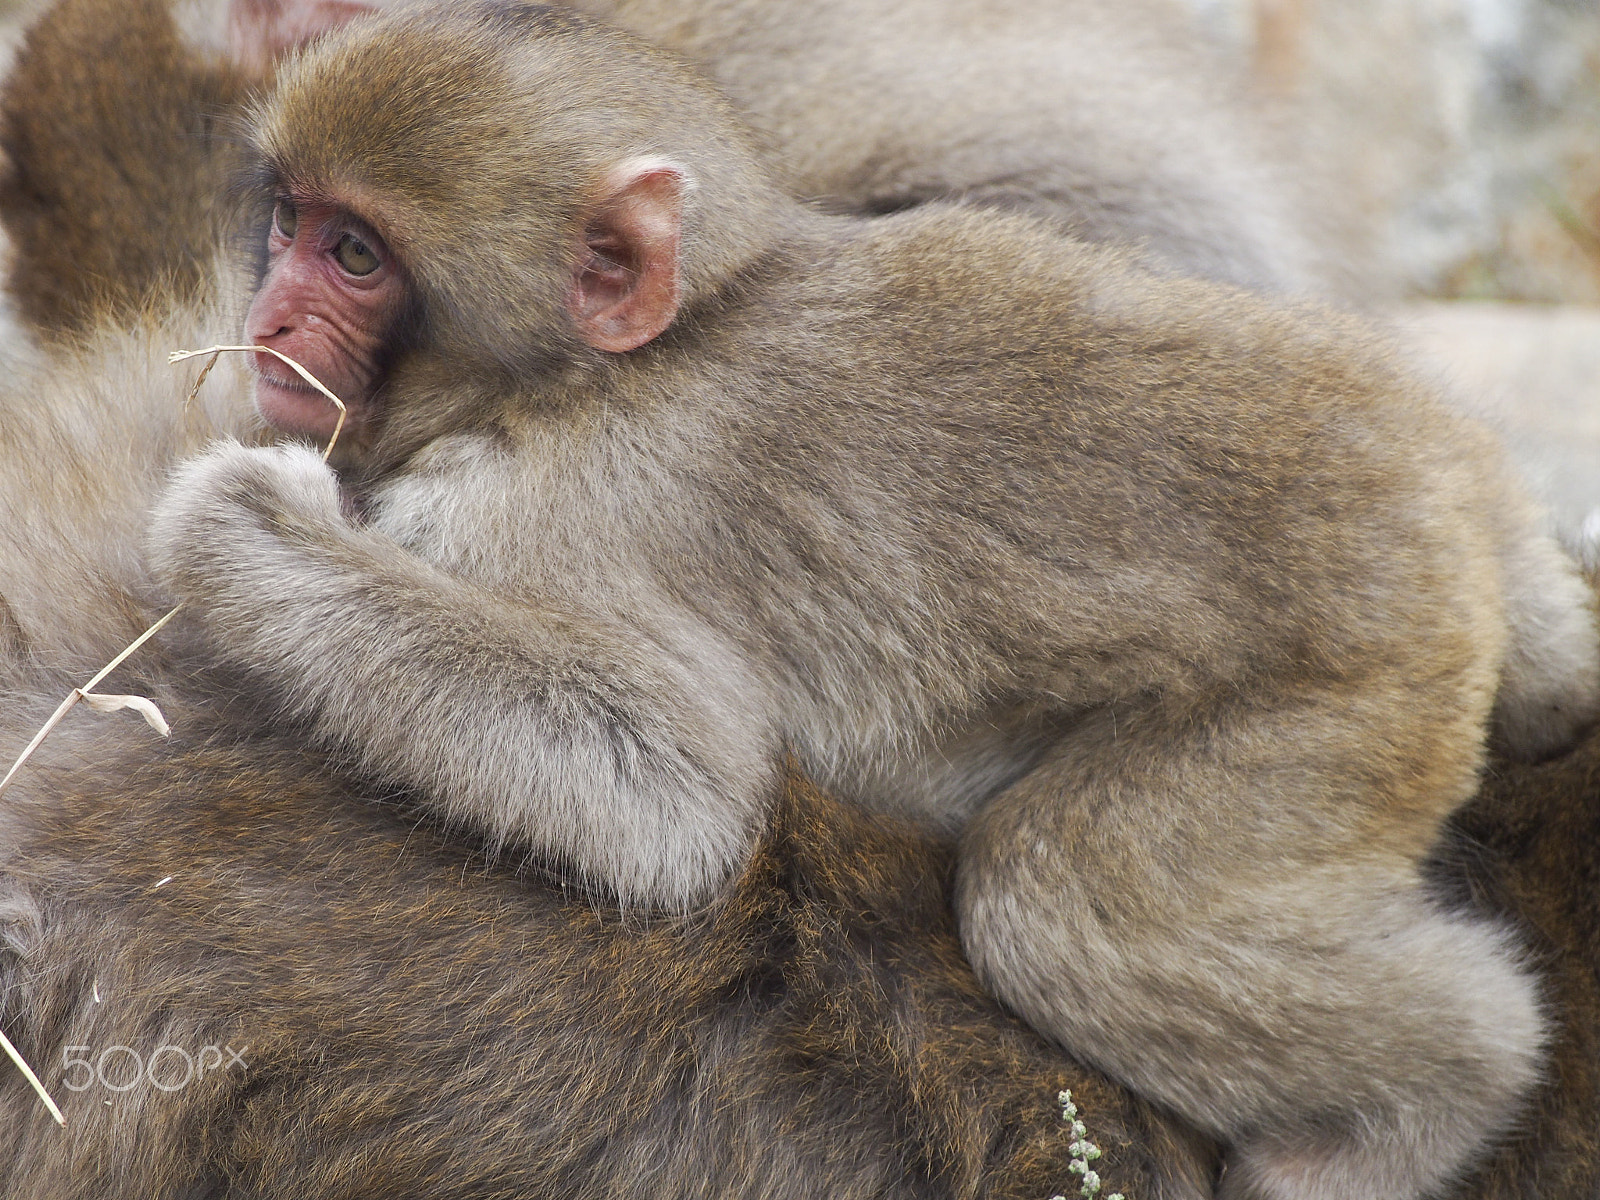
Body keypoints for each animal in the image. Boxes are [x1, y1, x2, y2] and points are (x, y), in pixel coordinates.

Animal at [132, 7, 1600, 1199]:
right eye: (287, 221)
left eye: (355, 254)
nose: (265, 328)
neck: (633, 355)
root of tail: (1443, 517)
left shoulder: (540, 514)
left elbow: (670, 803)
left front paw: (244, 525)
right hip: (1438, 475)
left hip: (1347, 688)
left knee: (1056, 912)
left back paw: (1433, 1100)